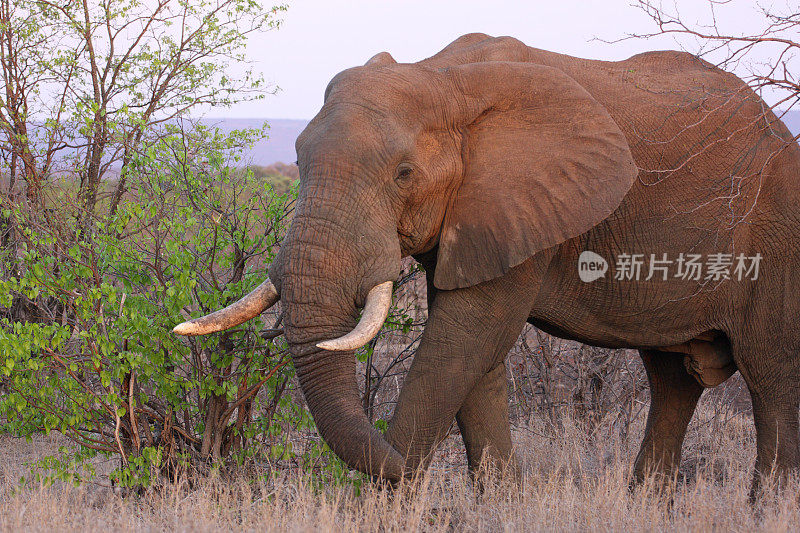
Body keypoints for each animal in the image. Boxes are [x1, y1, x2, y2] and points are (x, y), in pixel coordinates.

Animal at [172, 32, 800, 490]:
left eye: (404, 174)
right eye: (298, 161)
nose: (397, 462)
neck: (442, 77)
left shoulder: (521, 203)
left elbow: (464, 341)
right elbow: (474, 357)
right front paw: (500, 504)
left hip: (777, 236)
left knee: (773, 379)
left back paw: (767, 505)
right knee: (673, 380)